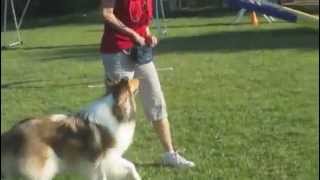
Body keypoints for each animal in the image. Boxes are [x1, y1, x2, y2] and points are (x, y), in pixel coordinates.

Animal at [1, 79, 141, 180]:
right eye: (131, 81)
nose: (139, 78)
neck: (115, 111)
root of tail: (13, 131)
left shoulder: (99, 162)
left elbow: (127, 167)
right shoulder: (108, 158)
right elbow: (129, 166)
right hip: (41, 169)